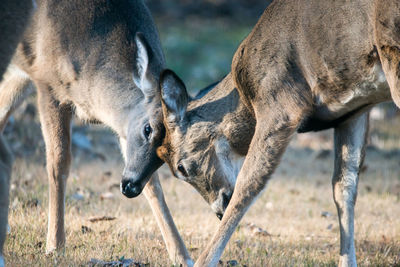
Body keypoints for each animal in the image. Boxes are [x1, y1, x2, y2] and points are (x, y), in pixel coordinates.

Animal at [0, 0, 194, 266]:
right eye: (148, 128)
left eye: (170, 151)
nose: (131, 187)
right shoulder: (47, 83)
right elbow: (58, 163)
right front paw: (55, 246)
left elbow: (154, 185)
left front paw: (182, 255)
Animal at [122, 0, 400, 266]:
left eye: (181, 167)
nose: (219, 209)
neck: (245, 94)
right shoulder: (353, 111)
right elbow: (344, 187)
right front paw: (347, 261)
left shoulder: (282, 104)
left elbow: (248, 186)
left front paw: (203, 261)